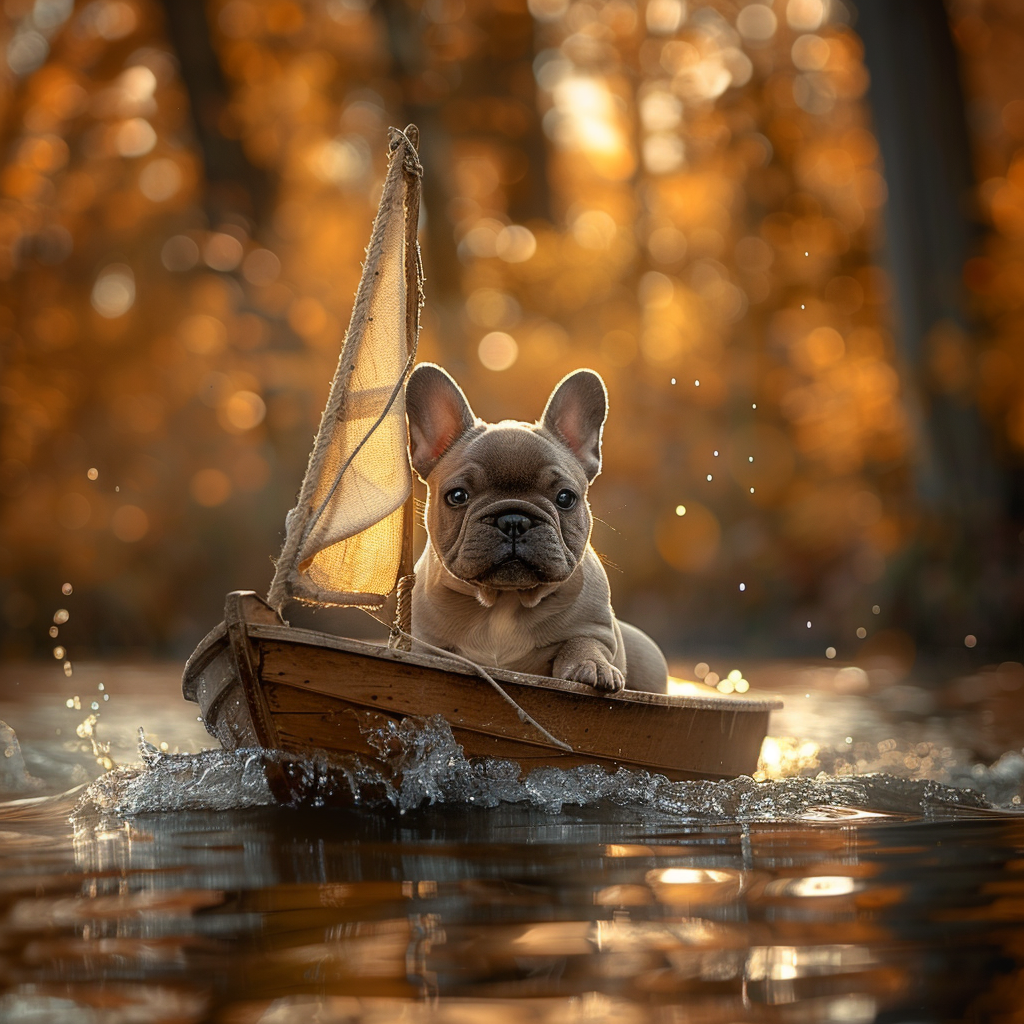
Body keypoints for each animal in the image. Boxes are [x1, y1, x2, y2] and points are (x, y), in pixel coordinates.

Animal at [407, 362, 671, 696]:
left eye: (565, 498)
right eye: (457, 496)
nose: (513, 520)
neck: (504, 601)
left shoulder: (597, 631)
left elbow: (583, 643)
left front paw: (593, 666)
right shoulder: (424, 641)